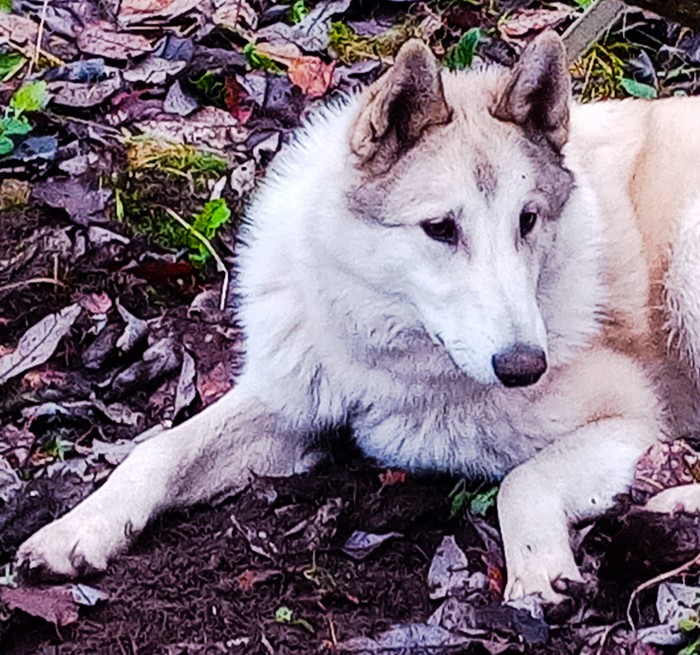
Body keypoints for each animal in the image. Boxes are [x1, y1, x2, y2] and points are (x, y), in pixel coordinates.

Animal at [16, 31, 700, 604]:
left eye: (527, 221)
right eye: (440, 228)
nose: (525, 367)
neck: (388, 345)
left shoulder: (633, 418)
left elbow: (521, 481)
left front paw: (536, 576)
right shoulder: (294, 394)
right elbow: (159, 451)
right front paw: (80, 528)